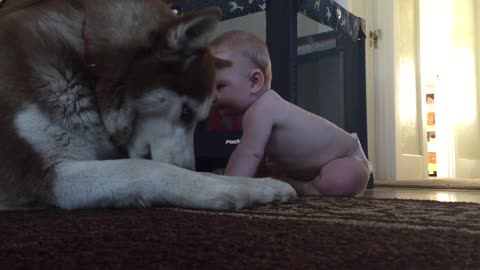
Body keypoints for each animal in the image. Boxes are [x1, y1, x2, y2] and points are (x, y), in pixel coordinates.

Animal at [0, 0, 296, 210]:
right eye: (186, 112)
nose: (189, 167)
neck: (89, 74)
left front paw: (262, 185)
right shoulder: (44, 174)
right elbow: (145, 168)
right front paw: (216, 188)